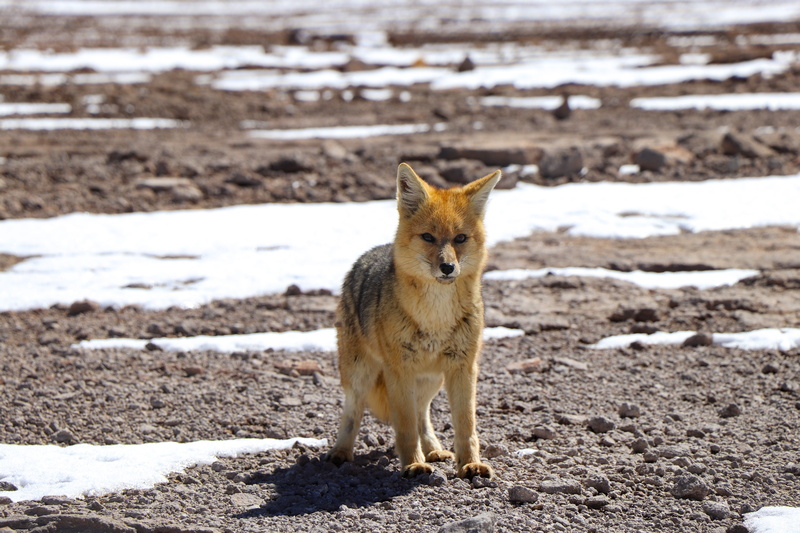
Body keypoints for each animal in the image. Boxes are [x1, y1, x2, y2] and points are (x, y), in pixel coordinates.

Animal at [326, 162, 500, 479]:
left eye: (460, 238)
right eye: (428, 237)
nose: (447, 267)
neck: (435, 318)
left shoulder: (463, 367)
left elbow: (465, 425)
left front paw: (470, 463)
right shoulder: (399, 370)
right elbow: (404, 426)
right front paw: (413, 465)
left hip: (431, 380)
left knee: (422, 414)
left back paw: (434, 450)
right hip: (359, 374)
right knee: (353, 412)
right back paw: (341, 452)